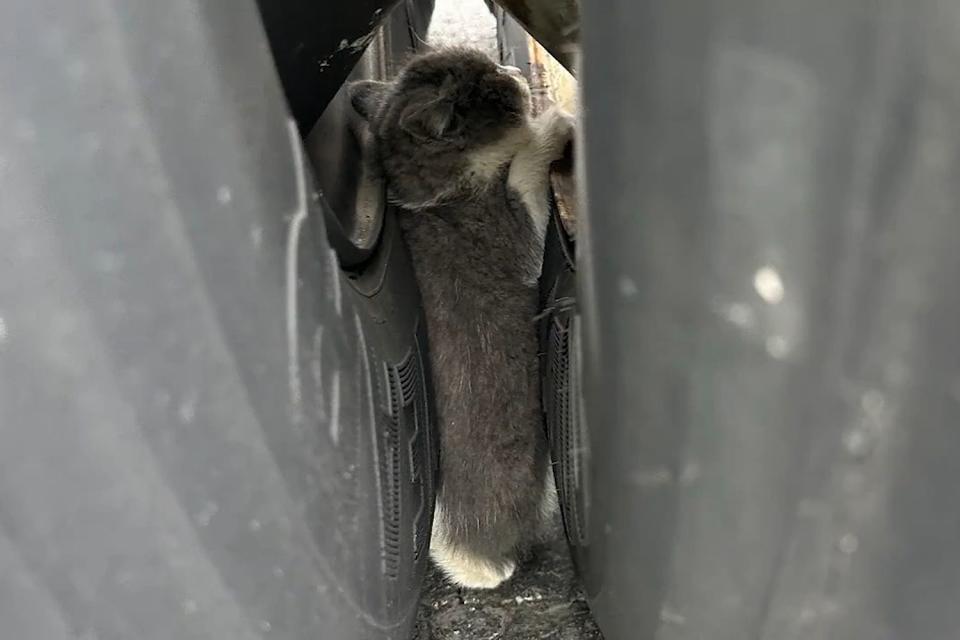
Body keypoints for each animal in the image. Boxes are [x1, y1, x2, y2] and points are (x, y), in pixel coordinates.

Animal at [350, 48, 568, 592]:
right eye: (495, 86)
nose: (512, 70)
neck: (444, 194)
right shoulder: (512, 235)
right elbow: (523, 174)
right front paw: (551, 128)